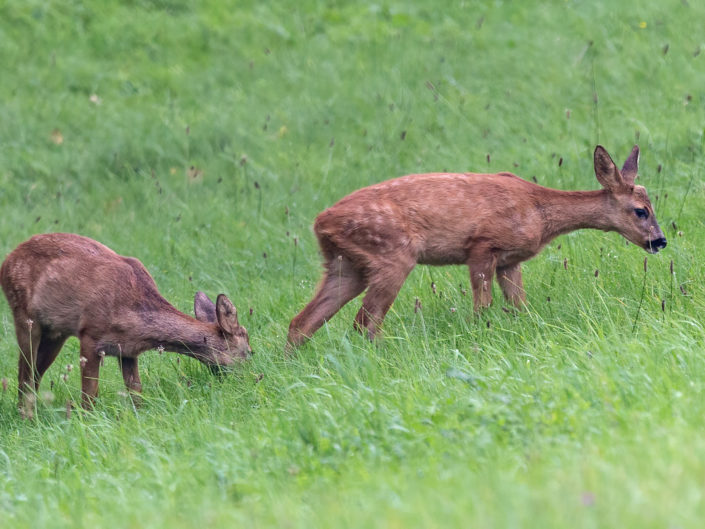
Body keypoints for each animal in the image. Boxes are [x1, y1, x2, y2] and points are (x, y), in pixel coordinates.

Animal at [0, 233, 252, 417]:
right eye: (249, 351)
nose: (250, 378)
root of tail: (7, 261)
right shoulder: (89, 335)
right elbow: (89, 394)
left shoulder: (128, 351)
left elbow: (136, 392)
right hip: (25, 316)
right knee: (24, 372)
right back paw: (27, 418)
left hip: (55, 333)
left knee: (34, 374)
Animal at [287, 145, 667, 349]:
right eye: (641, 210)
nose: (660, 240)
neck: (539, 212)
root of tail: (320, 222)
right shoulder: (482, 246)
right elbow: (481, 310)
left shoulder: (511, 261)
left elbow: (520, 308)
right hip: (392, 255)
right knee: (363, 323)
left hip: (344, 264)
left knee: (302, 322)